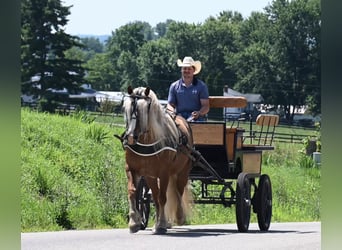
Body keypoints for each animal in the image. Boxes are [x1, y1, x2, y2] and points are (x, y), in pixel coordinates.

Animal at [121, 86, 194, 234]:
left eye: (143, 111)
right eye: (127, 109)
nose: (130, 138)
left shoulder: (164, 173)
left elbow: (163, 197)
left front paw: (161, 224)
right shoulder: (132, 169)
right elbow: (132, 192)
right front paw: (134, 222)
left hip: (182, 171)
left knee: (178, 191)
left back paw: (179, 216)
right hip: (151, 176)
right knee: (155, 195)